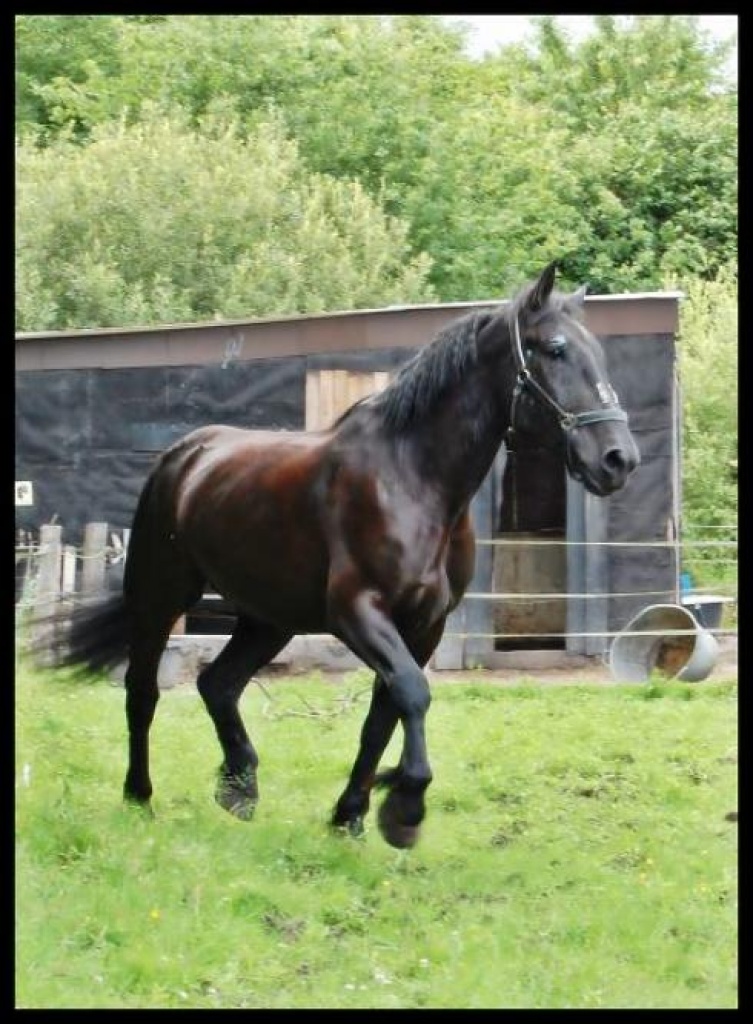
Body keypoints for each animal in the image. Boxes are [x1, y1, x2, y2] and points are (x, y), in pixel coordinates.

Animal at [45, 262, 640, 849]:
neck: (414, 480)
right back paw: (139, 798)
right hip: (160, 596)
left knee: (218, 683)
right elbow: (413, 694)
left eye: (599, 352)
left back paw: (239, 787)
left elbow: (384, 714)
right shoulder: (358, 610)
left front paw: (350, 814)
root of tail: (184, 456)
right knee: (142, 691)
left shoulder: (423, 625)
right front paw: (404, 806)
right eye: (555, 348)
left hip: (269, 618)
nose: (619, 459)